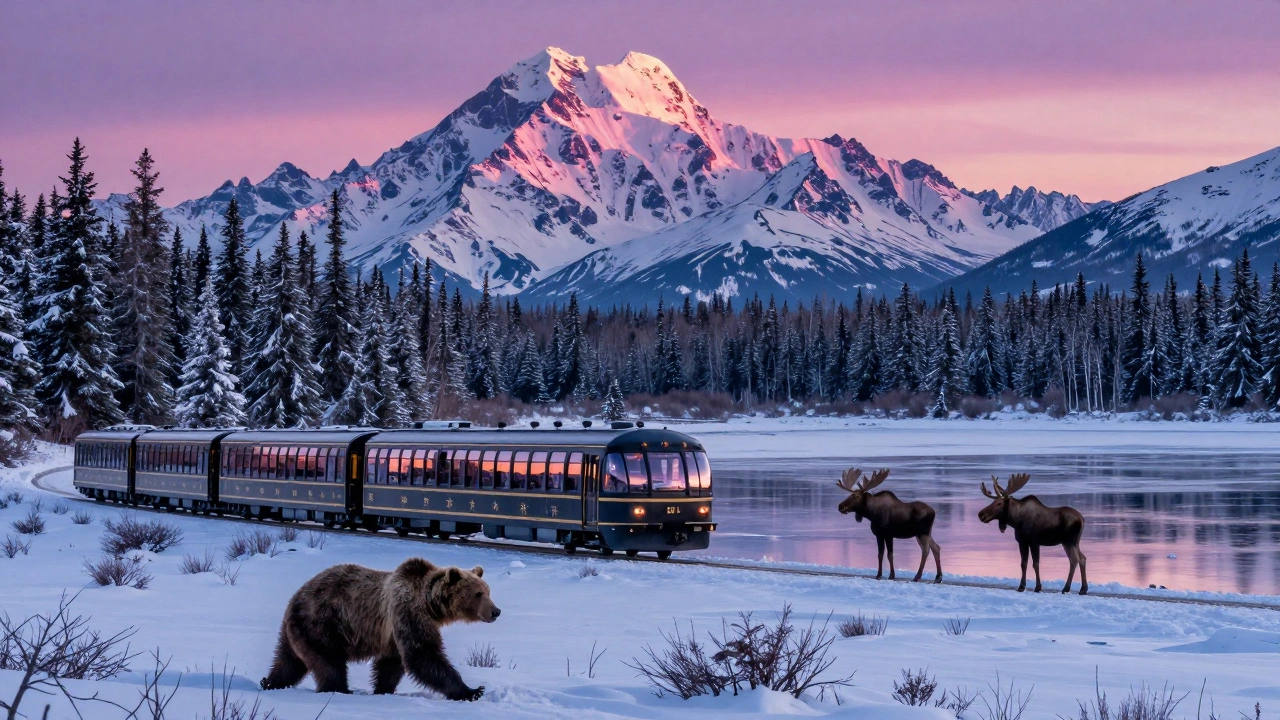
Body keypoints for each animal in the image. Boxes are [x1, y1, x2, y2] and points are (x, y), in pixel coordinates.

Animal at [260, 557, 500, 700]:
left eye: (488, 591)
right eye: (478, 594)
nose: (496, 611)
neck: (429, 604)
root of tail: (296, 597)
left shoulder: (393, 633)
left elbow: (391, 664)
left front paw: (383, 689)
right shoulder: (406, 611)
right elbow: (422, 654)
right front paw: (472, 691)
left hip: (297, 630)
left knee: (289, 660)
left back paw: (270, 682)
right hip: (323, 622)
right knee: (329, 662)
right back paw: (340, 688)